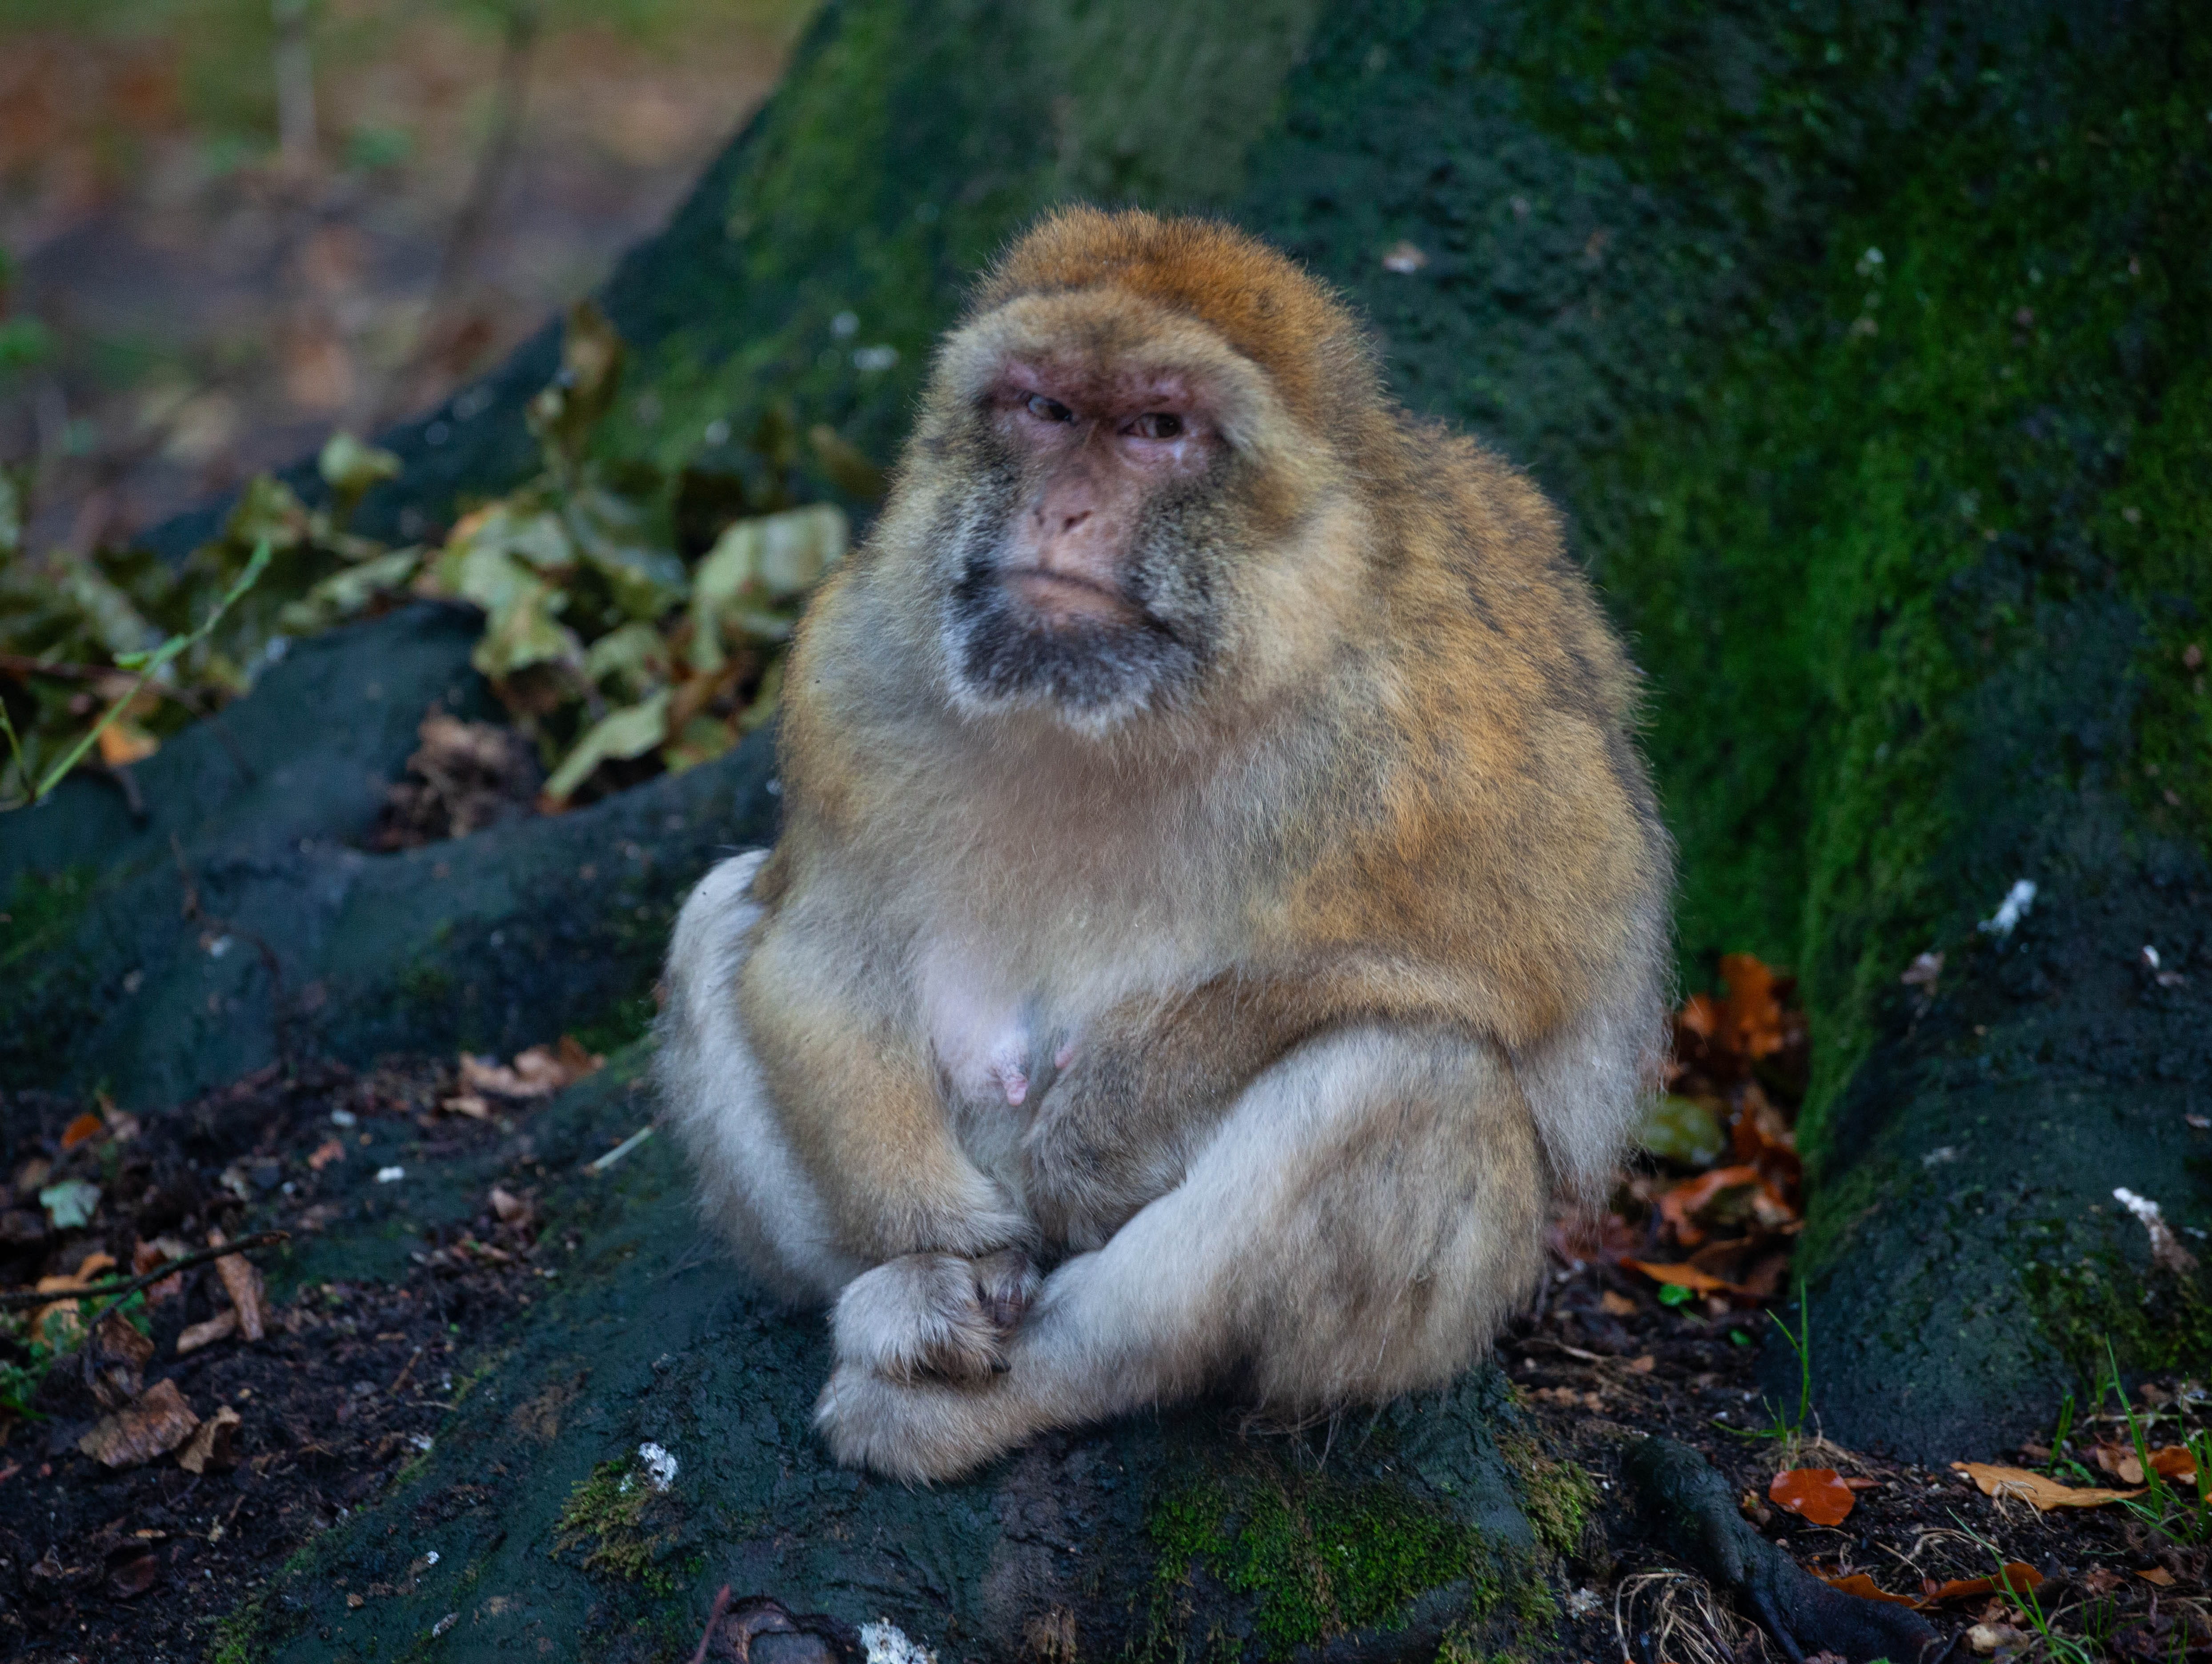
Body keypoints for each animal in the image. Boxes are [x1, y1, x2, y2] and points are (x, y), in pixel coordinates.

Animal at [657, 207, 1671, 1483]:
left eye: (1156, 428)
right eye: (1045, 408)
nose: (1064, 513)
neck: (1128, 715)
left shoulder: (1435, 721)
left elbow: (1540, 965)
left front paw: (1101, 1128)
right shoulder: (855, 660)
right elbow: (819, 947)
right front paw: (945, 1252)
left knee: (1410, 1074)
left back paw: (1028, 1387)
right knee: (718, 915)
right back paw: (903, 1298)